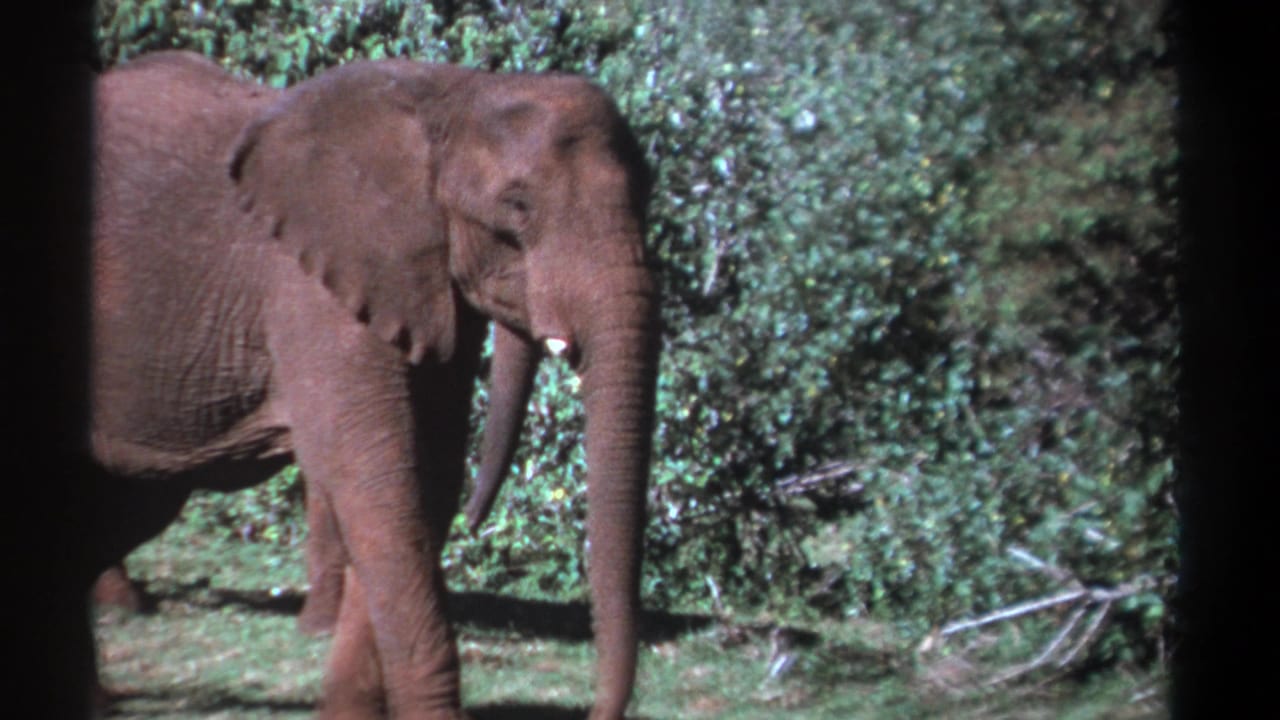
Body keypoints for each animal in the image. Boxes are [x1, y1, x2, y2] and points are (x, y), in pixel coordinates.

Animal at [88, 50, 659, 719]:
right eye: (516, 207)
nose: (595, 710)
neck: (453, 94)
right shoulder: (309, 284)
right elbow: (376, 481)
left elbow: (425, 483)